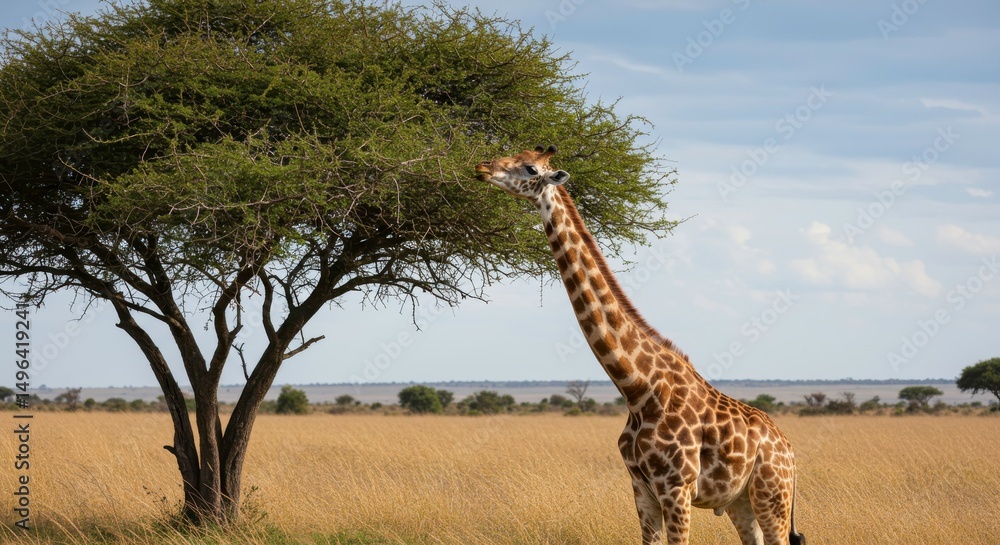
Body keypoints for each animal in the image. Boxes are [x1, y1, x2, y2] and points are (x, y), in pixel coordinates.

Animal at [475, 145, 805, 545]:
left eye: (530, 168)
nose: (482, 167)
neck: (637, 387)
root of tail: (789, 450)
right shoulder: (640, 488)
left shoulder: (676, 487)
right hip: (740, 501)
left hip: (772, 494)